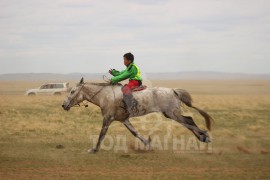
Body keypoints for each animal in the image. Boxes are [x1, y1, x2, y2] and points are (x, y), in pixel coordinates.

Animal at [61, 77, 213, 153]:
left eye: (72, 91)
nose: (64, 105)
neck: (106, 96)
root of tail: (173, 90)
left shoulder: (107, 119)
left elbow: (101, 134)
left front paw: (94, 149)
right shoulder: (124, 120)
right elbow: (135, 133)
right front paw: (149, 145)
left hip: (173, 113)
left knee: (189, 121)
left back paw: (205, 136)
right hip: (170, 114)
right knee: (188, 121)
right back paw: (203, 138)